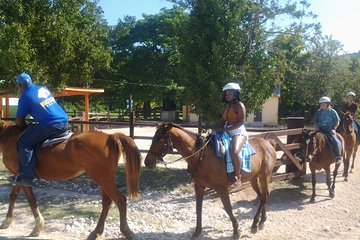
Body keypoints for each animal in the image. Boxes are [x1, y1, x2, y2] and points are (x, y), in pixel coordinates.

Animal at [0, 121, 141, 239]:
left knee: (120, 200)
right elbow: (14, 196)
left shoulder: (21, 176)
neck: (9, 136)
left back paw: (126, 231)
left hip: (104, 179)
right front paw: (7, 221)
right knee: (107, 202)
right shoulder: (19, 176)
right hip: (104, 180)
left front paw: (36, 227)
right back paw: (96, 232)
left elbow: (30, 199)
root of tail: (110, 137)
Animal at [143, 123, 276, 239]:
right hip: (254, 179)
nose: (147, 162)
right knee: (262, 196)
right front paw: (197, 231)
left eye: (160, 138)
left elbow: (228, 208)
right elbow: (198, 208)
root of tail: (268, 143)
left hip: (264, 176)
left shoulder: (221, 188)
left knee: (264, 196)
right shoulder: (199, 186)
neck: (201, 156)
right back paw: (261, 222)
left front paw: (236, 231)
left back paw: (255, 224)